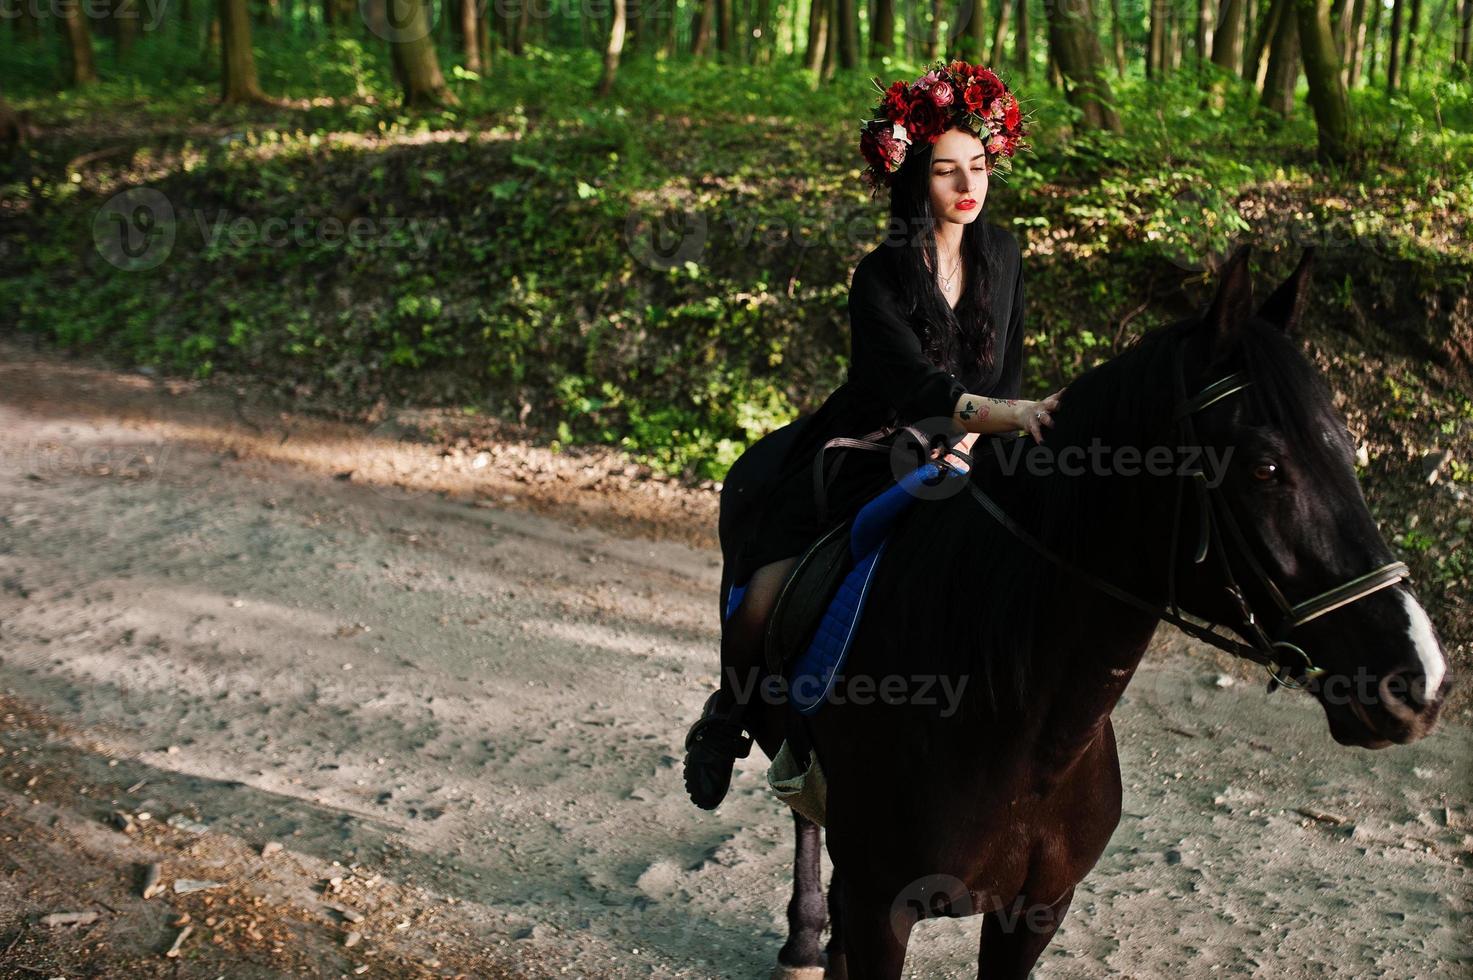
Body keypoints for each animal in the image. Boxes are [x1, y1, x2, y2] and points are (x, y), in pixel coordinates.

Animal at [718, 243, 1455, 972]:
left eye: (1348, 448)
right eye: (1264, 467)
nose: (1418, 678)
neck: (1016, 724)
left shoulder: (1037, 911)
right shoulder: (885, 908)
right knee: (802, 814)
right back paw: (803, 941)